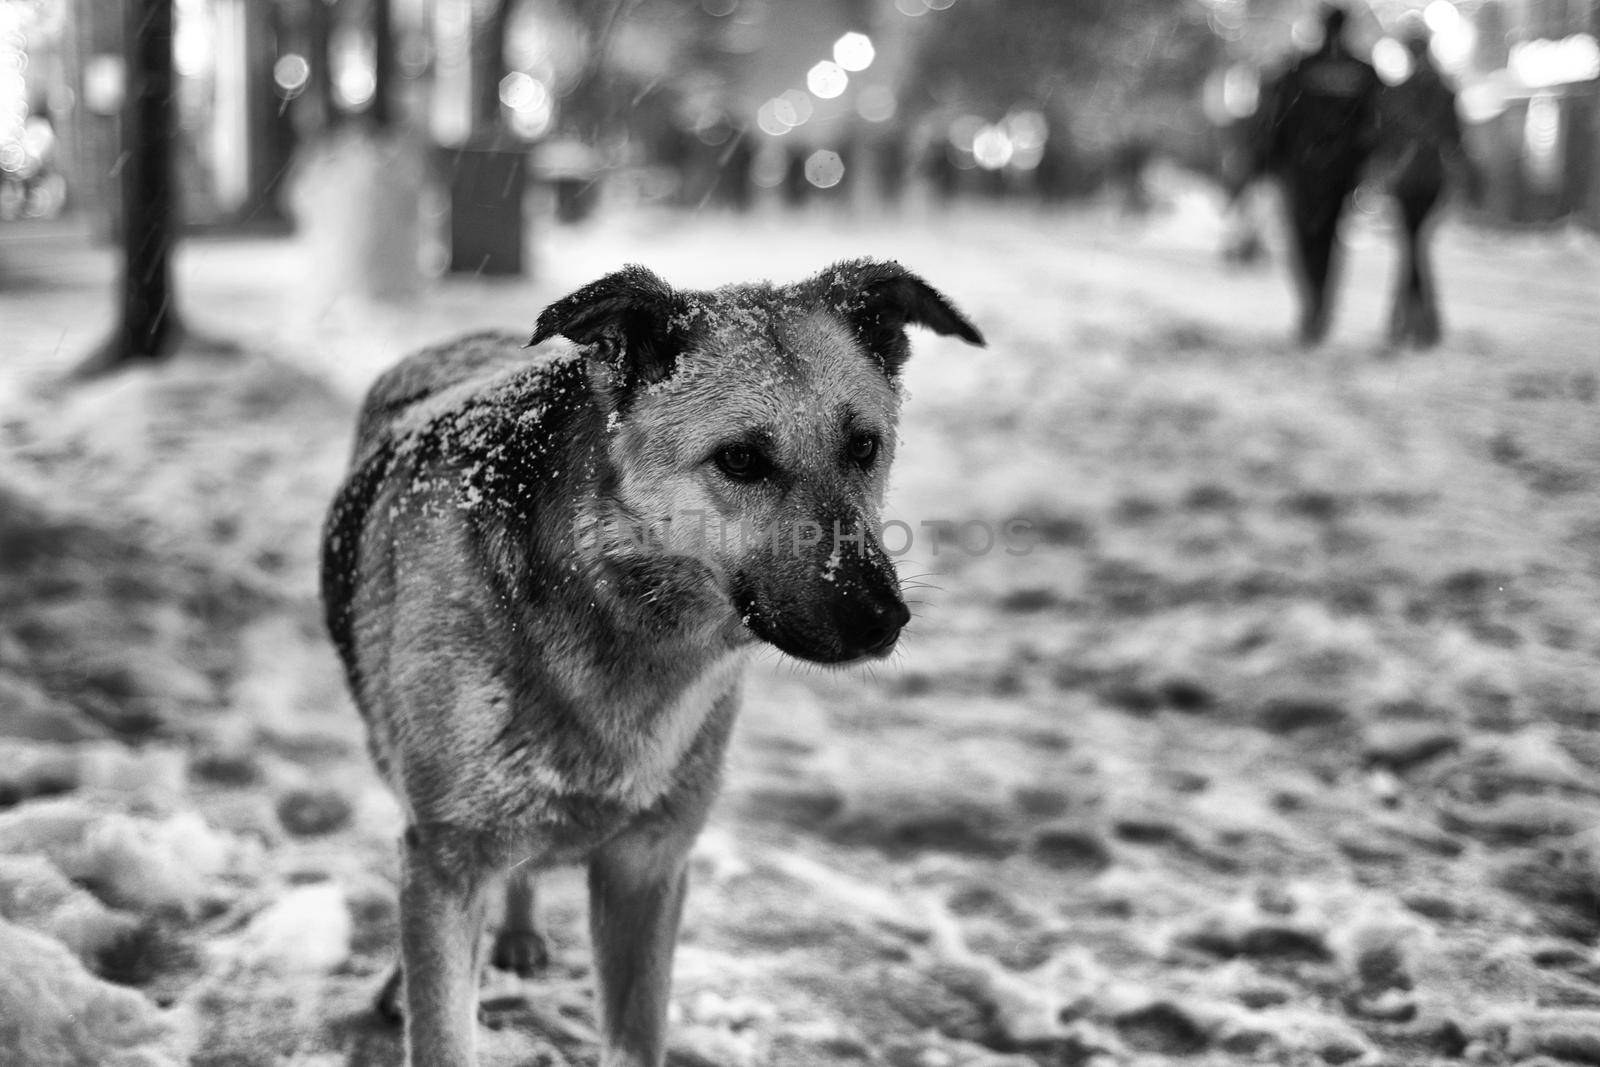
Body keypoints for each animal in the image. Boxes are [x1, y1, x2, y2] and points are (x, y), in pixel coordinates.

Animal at [318, 260, 979, 1067]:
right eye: (740, 459)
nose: (881, 619)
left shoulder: (649, 865)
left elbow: (635, 1034)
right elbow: (440, 1018)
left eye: (863, 445)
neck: (617, 612)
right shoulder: (448, 856)